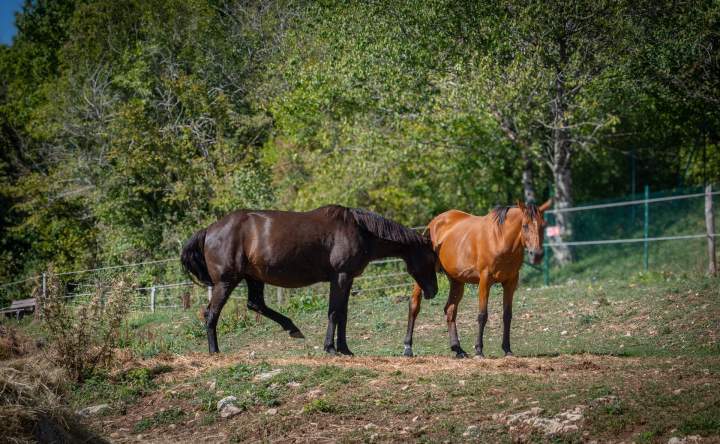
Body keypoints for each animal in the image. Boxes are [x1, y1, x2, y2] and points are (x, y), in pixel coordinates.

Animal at [180, 205, 438, 355]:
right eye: (431, 258)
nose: (433, 291)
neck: (360, 230)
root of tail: (209, 230)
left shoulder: (347, 279)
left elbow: (342, 314)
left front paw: (345, 349)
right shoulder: (340, 277)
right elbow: (334, 312)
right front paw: (331, 348)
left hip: (253, 277)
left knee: (255, 304)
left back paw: (293, 328)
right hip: (226, 282)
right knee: (211, 313)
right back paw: (215, 352)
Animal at [403, 200, 551, 358]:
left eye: (543, 225)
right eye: (525, 225)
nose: (537, 254)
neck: (500, 238)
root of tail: (434, 223)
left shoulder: (510, 282)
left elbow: (507, 315)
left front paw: (507, 349)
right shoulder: (485, 280)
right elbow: (482, 315)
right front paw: (479, 350)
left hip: (457, 281)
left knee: (450, 310)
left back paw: (458, 349)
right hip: (422, 276)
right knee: (414, 306)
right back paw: (408, 347)